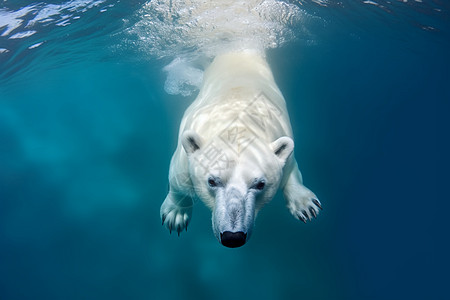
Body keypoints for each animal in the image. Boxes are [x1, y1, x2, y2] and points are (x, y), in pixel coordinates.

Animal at [160, 51, 322, 248]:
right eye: (212, 181)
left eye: (260, 184)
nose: (233, 237)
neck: (238, 120)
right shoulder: (185, 153)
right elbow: (178, 180)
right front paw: (175, 215)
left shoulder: (283, 142)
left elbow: (291, 168)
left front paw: (306, 206)